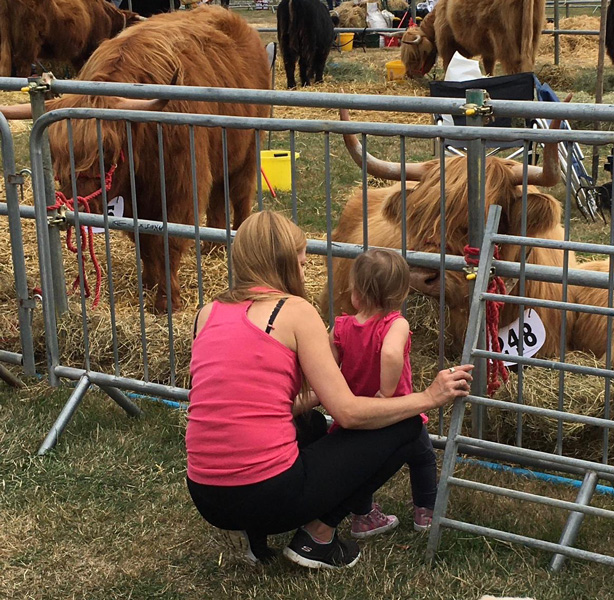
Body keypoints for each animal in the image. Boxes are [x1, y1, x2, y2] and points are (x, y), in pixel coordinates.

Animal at [402, 0, 548, 78]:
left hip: (504, 40)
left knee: (514, 66)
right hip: (533, 36)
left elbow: (448, 65)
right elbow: (489, 68)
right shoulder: (488, 51)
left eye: (415, 57)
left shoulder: (447, 44)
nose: (410, 75)